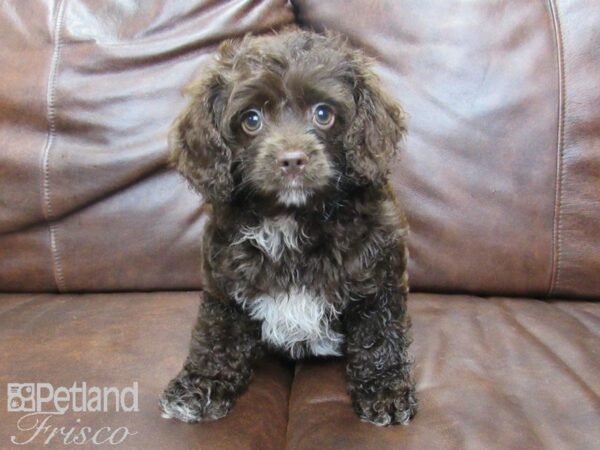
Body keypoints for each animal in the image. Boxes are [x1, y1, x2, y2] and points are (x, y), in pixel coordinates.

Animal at [162, 27, 420, 426]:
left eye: (323, 113)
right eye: (251, 120)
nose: (292, 159)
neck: (291, 217)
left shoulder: (378, 277)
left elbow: (379, 333)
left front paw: (386, 392)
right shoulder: (224, 284)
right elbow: (217, 335)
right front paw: (200, 386)